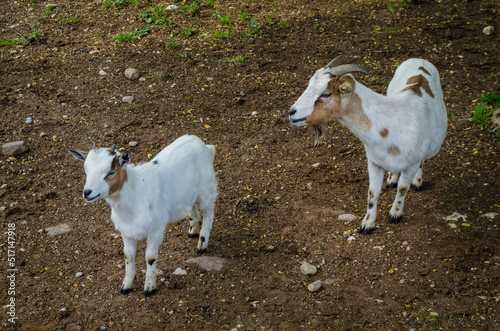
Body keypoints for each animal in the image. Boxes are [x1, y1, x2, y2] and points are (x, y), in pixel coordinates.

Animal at [69, 136, 218, 296]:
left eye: (110, 172)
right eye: (86, 170)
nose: (87, 192)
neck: (135, 193)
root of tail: (202, 144)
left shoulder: (155, 230)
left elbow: (150, 257)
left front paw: (149, 287)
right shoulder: (126, 232)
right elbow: (128, 256)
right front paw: (126, 286)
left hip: (207, 188)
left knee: (208, 212)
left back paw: (202, 244)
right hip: (188, 193)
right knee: (191, 206)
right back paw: (193, 230)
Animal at [290, 55, 450, 235]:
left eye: (326, 94)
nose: (292, 112)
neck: (390, 125)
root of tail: (420, 60)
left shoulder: (412, 163)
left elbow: (402, 189)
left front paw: (395, 214)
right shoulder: (374, 162)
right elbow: (372, 193)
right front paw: (367, 224)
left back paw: (417, 181)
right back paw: (392, 179)